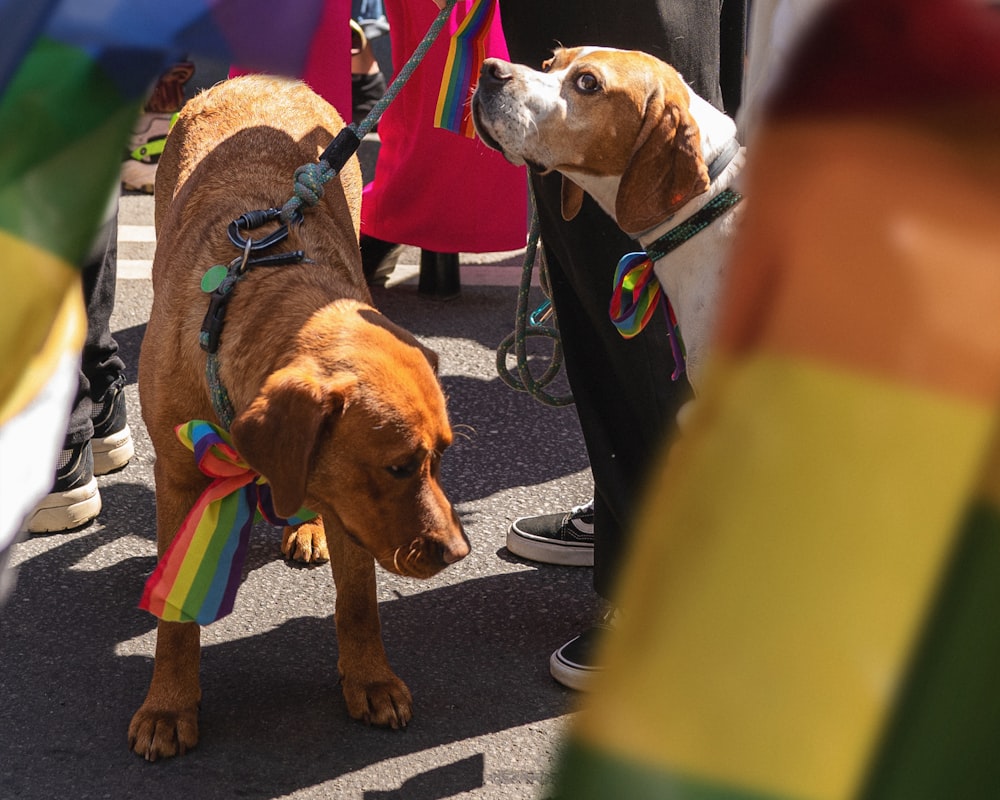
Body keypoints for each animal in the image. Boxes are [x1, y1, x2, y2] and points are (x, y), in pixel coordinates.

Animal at [129, 76, 468, 764]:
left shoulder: (349, 502)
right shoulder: (177, 477)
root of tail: (263, 78)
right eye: (400, 467)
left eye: (441, 457)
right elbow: (175, 621)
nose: (458, 552)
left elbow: (359, 599)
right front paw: (169, 704)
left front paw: (369, 678)